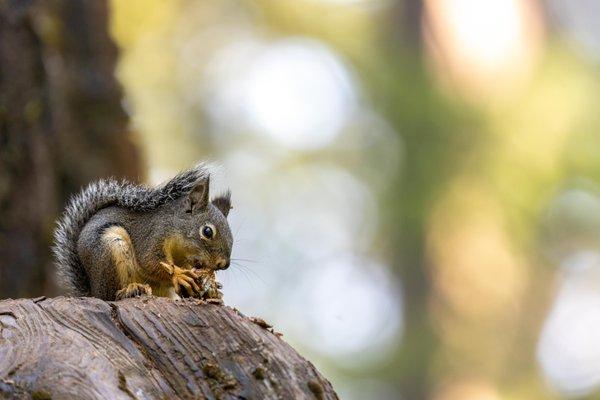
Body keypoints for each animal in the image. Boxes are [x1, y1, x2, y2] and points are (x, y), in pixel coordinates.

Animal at [53, 163, 232, 300]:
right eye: (207, 231)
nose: (224, 264)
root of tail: (93, 291)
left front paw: (211, 283)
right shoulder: (152, 234)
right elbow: (150, 261)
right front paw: (179, 275)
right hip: (109, 251)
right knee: (111, 295)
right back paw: (130, 289)